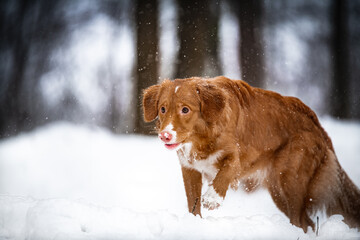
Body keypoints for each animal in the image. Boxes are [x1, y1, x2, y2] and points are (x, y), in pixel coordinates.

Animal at [142, 76, 358, 232]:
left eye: (185, 110)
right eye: (163, 109)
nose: (165, 135)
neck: (201, 138)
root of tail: (315, 122)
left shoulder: (237, 158)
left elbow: (224, 174)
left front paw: (213, 198)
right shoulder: (190, 169)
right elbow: (193, 204)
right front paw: (193, 225)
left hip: (291, 180)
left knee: (301, 220)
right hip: (278, 190)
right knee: (307, 223)